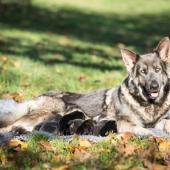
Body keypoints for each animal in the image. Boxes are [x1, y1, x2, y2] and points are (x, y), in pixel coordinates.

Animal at [0, 37, 170, 137]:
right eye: (143, 72)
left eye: (157, 70)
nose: (154, 87)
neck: (149, 105)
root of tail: (39, 96)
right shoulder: (125, 123)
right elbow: (144, 129)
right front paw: (153, 136)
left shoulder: (160, 121)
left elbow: (164, 124)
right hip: (48, 113)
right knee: (9, 127)